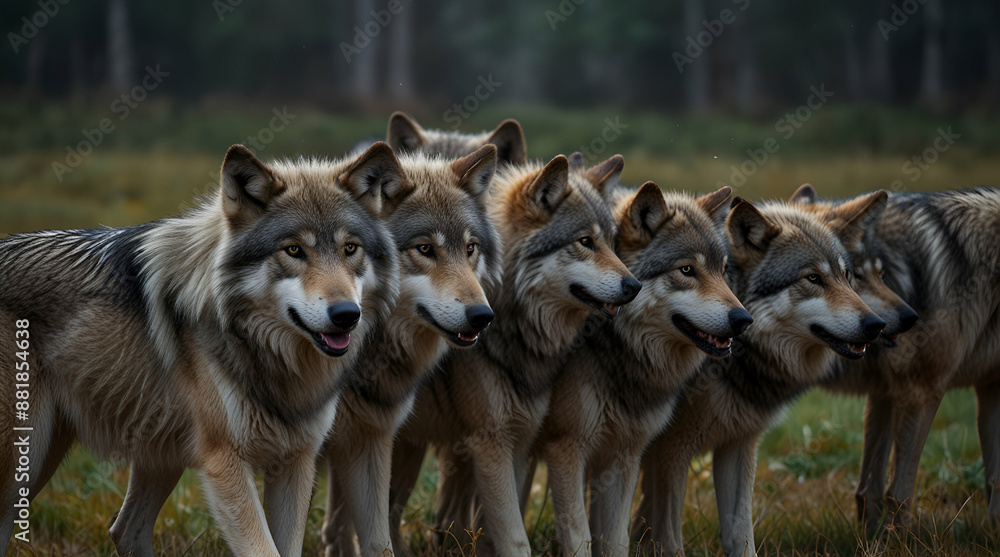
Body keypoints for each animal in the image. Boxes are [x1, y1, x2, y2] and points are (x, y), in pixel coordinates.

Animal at [0, 142, 407, 557]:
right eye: (293, 250)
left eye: (350, 248)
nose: (346, 315)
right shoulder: (225, 462)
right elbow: (264, 550)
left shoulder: (296, 462)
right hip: (26, 459)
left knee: (125, 529)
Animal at [386, 154, 642, 556]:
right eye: (585, 242)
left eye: (613, 244)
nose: (635, 285)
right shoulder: (492, 443)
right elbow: (516, 536)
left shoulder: (520, 442)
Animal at [538, 184, 751, 557]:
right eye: (686, 270)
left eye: (723, 271)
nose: (743, 319)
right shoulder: (566, 448)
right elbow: (581, 535)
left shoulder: (626, 453)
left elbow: (615, 538)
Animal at [633, 195, 888, 556]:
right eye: (813, 278)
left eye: (847, 276)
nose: (876, 325)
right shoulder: (670, 448)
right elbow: (666, 535)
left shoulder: (738, 444)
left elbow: (740, 534)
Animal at [789, 184, 1000, 534]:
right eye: (855, 277)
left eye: (881, 274)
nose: (912, 317)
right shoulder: (921, 391)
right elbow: (899, 492)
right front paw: (900, 542)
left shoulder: (890, 391)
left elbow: (868, 490)